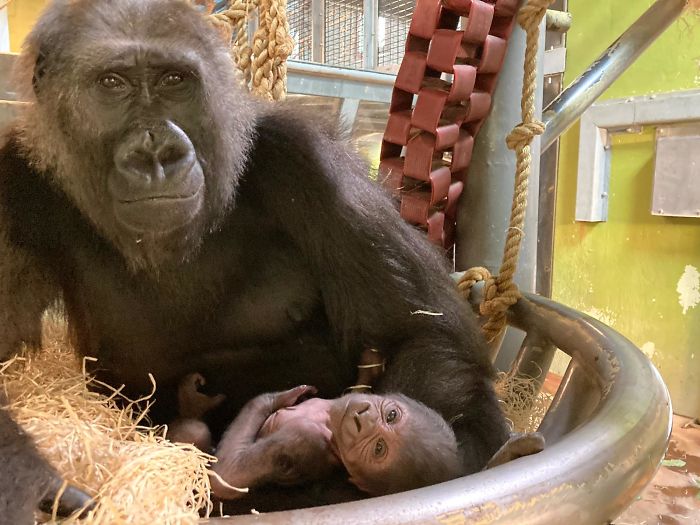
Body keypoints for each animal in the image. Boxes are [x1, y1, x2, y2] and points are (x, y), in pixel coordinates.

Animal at [0, 0, 510, 520]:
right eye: (112, 83)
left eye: (174, 80)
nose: (157, 152)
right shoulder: (15, 184)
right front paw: (40, 486)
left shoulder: (301, 156)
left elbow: (418, 332)